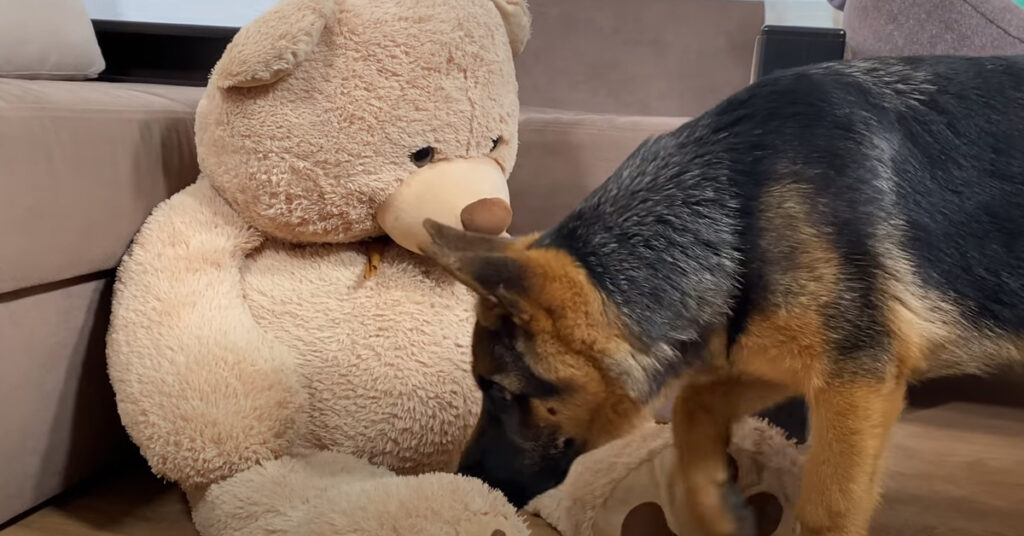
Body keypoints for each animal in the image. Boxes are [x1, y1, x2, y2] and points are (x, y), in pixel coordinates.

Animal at [417, 55, 1024, 536]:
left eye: (499, 391)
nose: (461, 480)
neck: (732, 209)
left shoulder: (858, 383)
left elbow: (826, 512)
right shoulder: (775, 355)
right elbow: (693, 403)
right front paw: (716, 509)